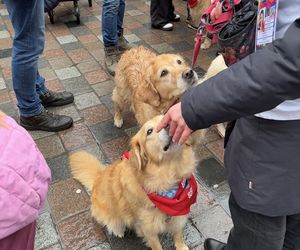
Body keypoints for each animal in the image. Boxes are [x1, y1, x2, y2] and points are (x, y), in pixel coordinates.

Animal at [69, 115, 198, 250]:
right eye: (149, 131)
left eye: (165, 117)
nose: (171, 123)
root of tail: (99, 176)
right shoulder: (148, 229)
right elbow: (157, 246)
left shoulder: (179, 214)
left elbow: (178, 234)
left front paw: (181, 246)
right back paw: (118, 230)